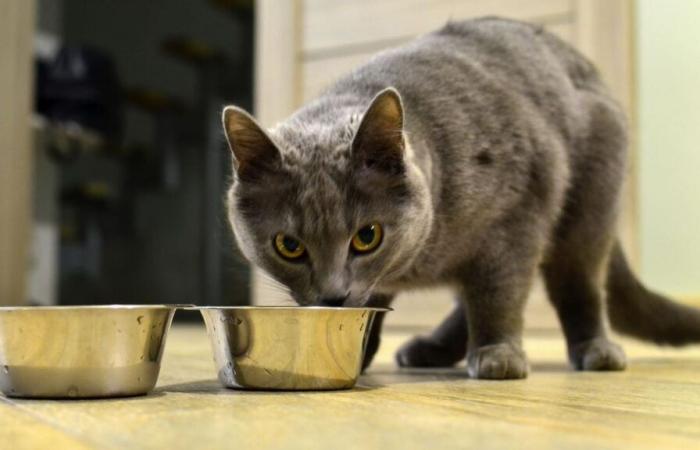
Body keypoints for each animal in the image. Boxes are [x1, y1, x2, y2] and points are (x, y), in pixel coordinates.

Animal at [221, 17, 700, 378]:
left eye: (367, 236)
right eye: (288, 245)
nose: (333, 296)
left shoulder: (515, 217)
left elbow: (499, 293)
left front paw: (498, 353)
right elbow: (378, 302)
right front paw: (358, 350)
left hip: (589, 201)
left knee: (577, 281)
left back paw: (595, 348)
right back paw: (429, 348)